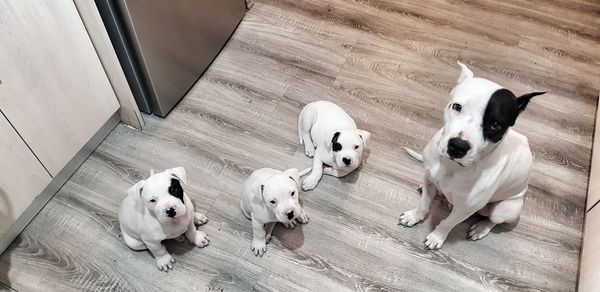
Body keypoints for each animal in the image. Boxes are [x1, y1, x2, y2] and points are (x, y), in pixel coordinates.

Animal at [400, 61, 548, 249]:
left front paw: (436, 237)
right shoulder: (429, 180)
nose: (458, 146)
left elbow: (448, 223)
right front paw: (414, 217)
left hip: (506, 209)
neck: (451, 167)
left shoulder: (466, 208)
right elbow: (423, 204)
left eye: (495, 124)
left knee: (494, 220)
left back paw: (481, 228)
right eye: (457, 107)